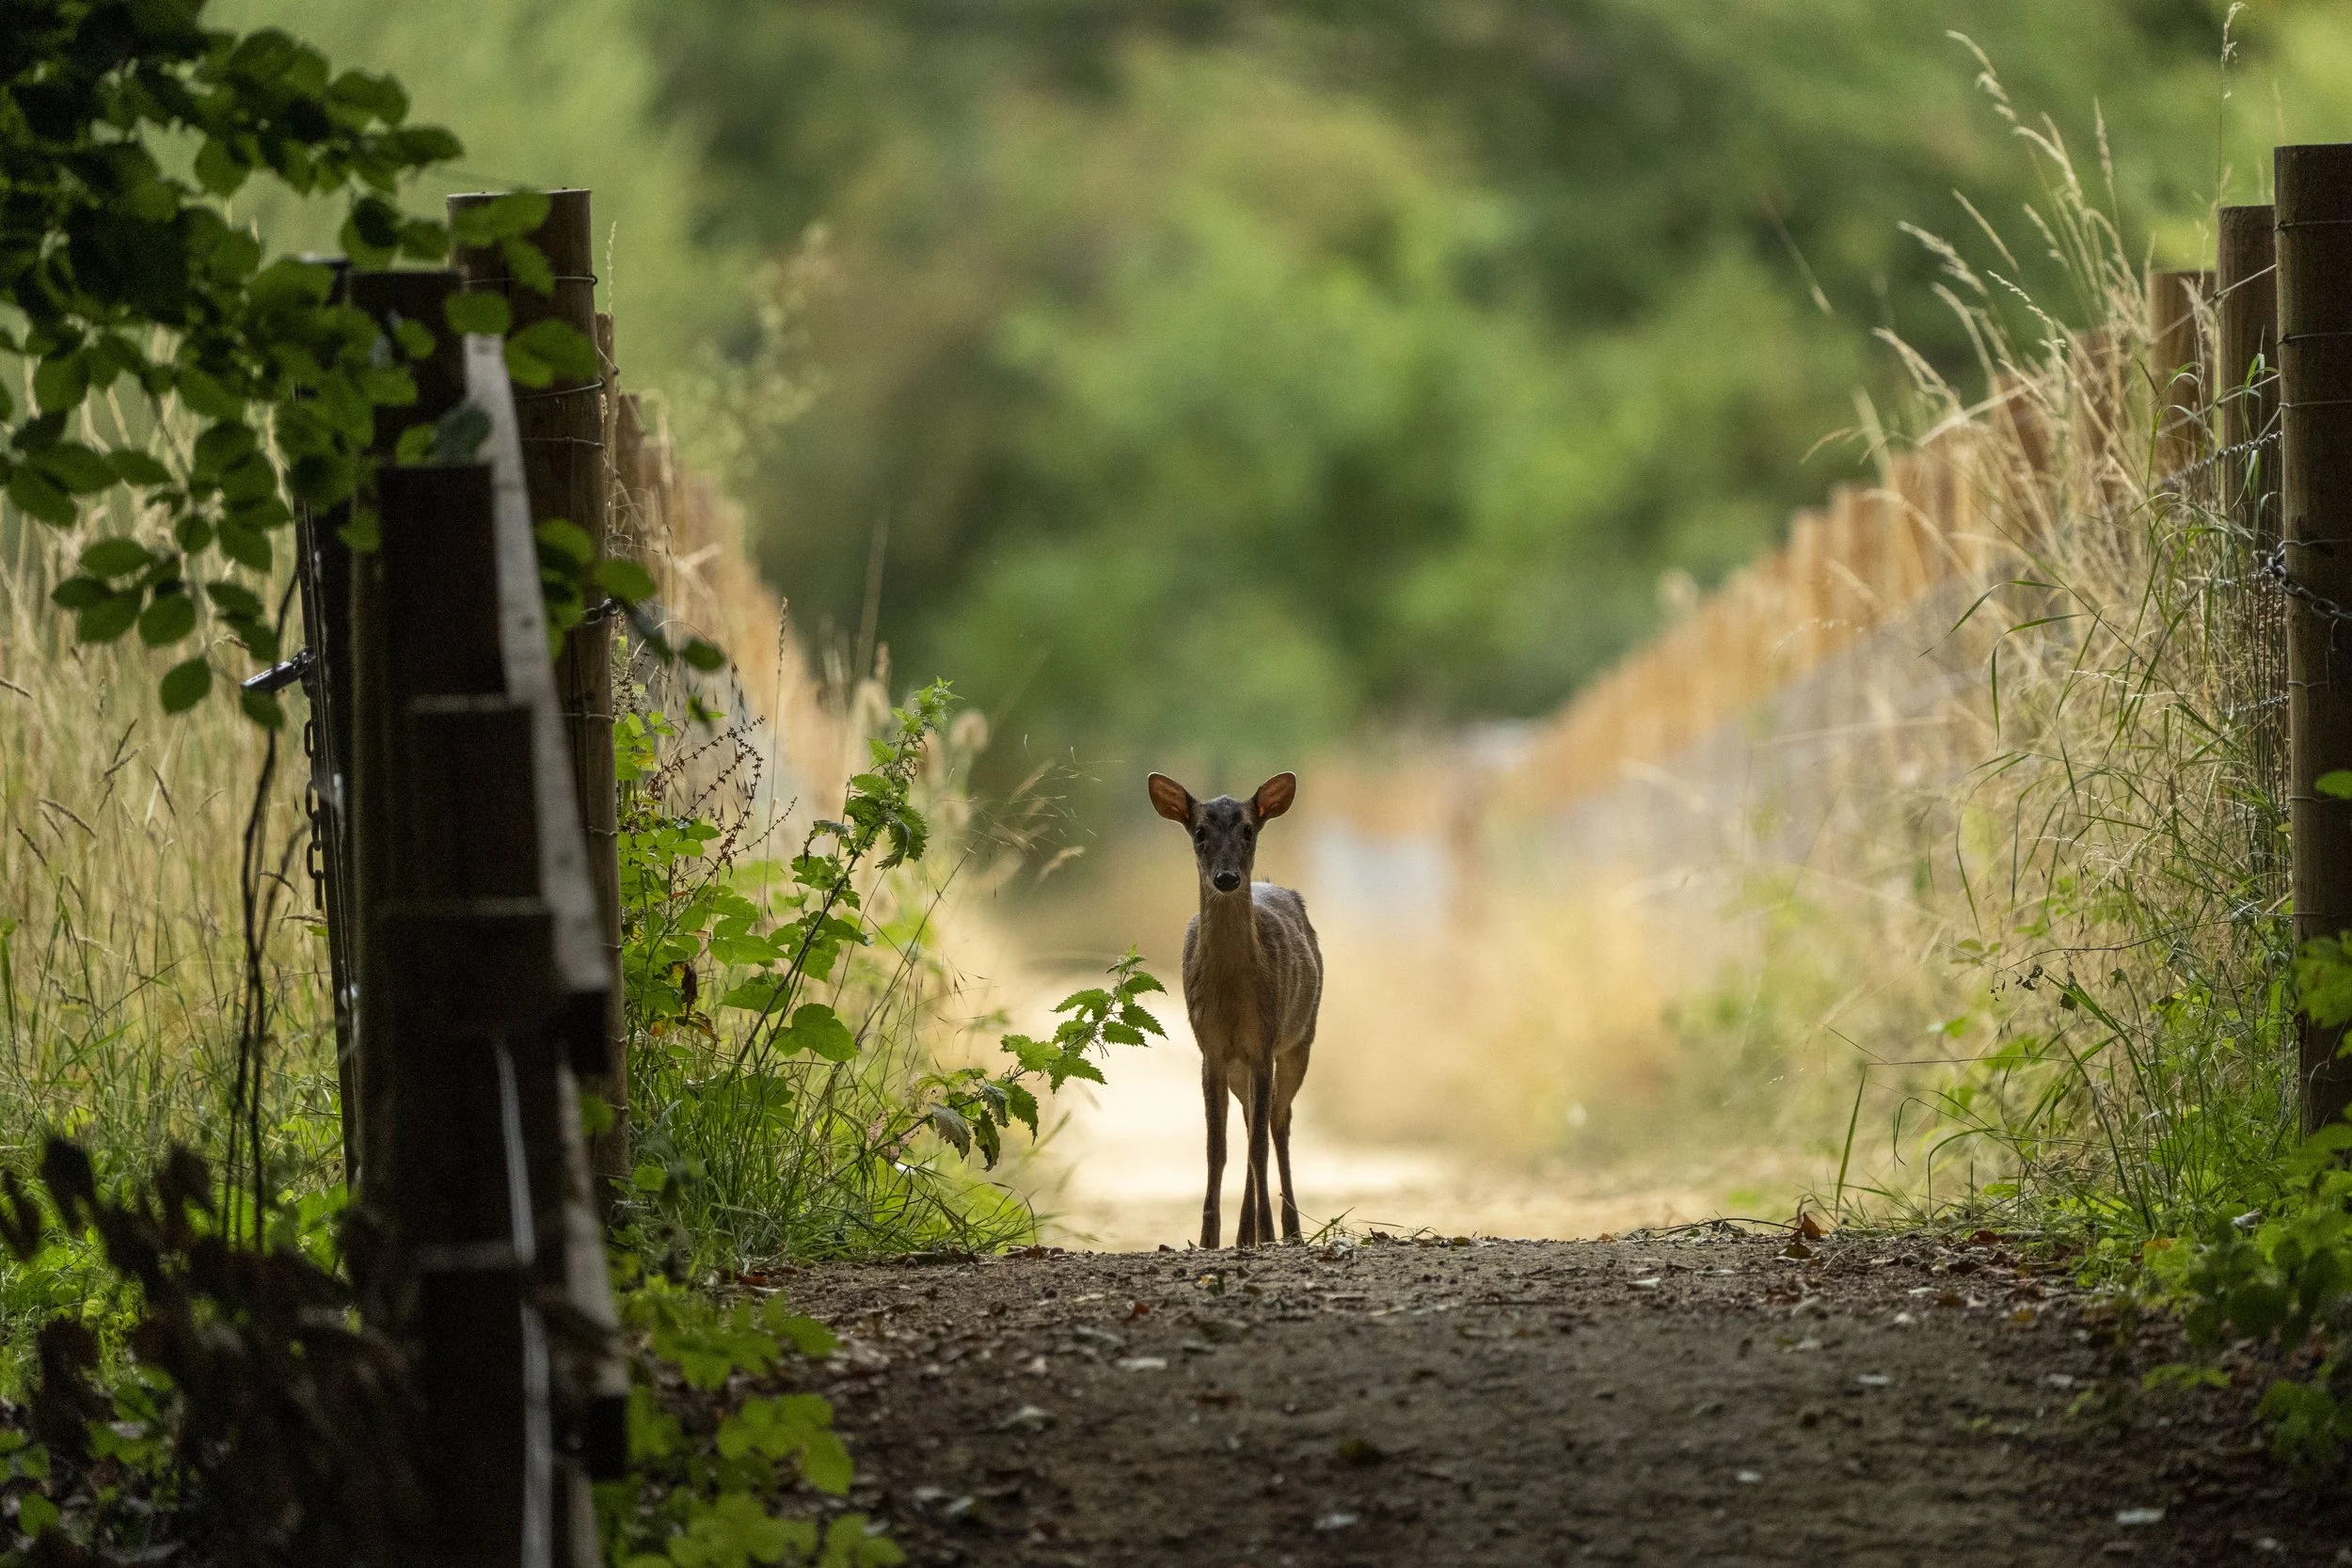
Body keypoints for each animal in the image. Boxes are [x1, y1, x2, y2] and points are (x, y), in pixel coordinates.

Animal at [1147, 770, 1323, 1249]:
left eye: (1248, 829)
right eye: (1199, 832)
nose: (1226, 878)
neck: (1231, 997)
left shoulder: (1263, 1042)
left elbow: (1258, 1145)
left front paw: (1265, 1233)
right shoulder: (1210, 1049)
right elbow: (1217, 1146)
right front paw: (1208, 1237)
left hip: (1301, 1038)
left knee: (1277, 1121)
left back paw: (1286, 1230)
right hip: (1239, 1066)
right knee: (1250, 1124)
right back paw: (1246, 1234)